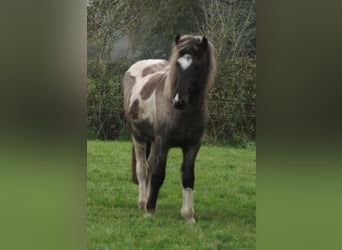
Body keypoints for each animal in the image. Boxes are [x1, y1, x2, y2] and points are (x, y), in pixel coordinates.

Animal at [121, 34, 215, 224]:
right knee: (143, 169)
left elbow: (188, 176)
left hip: (152, 141)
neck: (184, 114)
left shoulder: (193, 146)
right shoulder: (163, 142)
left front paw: (188, 215)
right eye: (177, 65)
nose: (178, 101)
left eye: (197, 68)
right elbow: (158, 174)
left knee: (149, 167)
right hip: (138, 136)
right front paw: (150, 210)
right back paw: (143, 203)